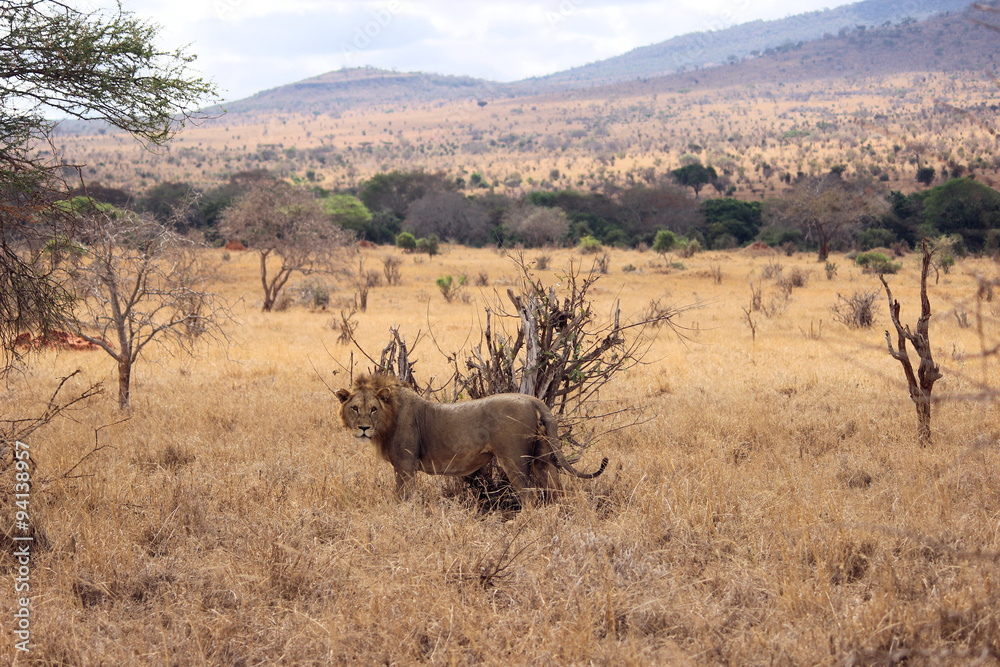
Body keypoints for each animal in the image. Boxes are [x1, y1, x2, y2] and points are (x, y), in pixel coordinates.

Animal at [336, 374, 607, 503]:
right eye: (355, 408)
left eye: (373, 409)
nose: (363, 428)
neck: (389, 416)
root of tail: (531, 399)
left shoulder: (405, 465)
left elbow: (402, 496)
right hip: (543, 459)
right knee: (557, 491)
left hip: (513, 459)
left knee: (529, 494)